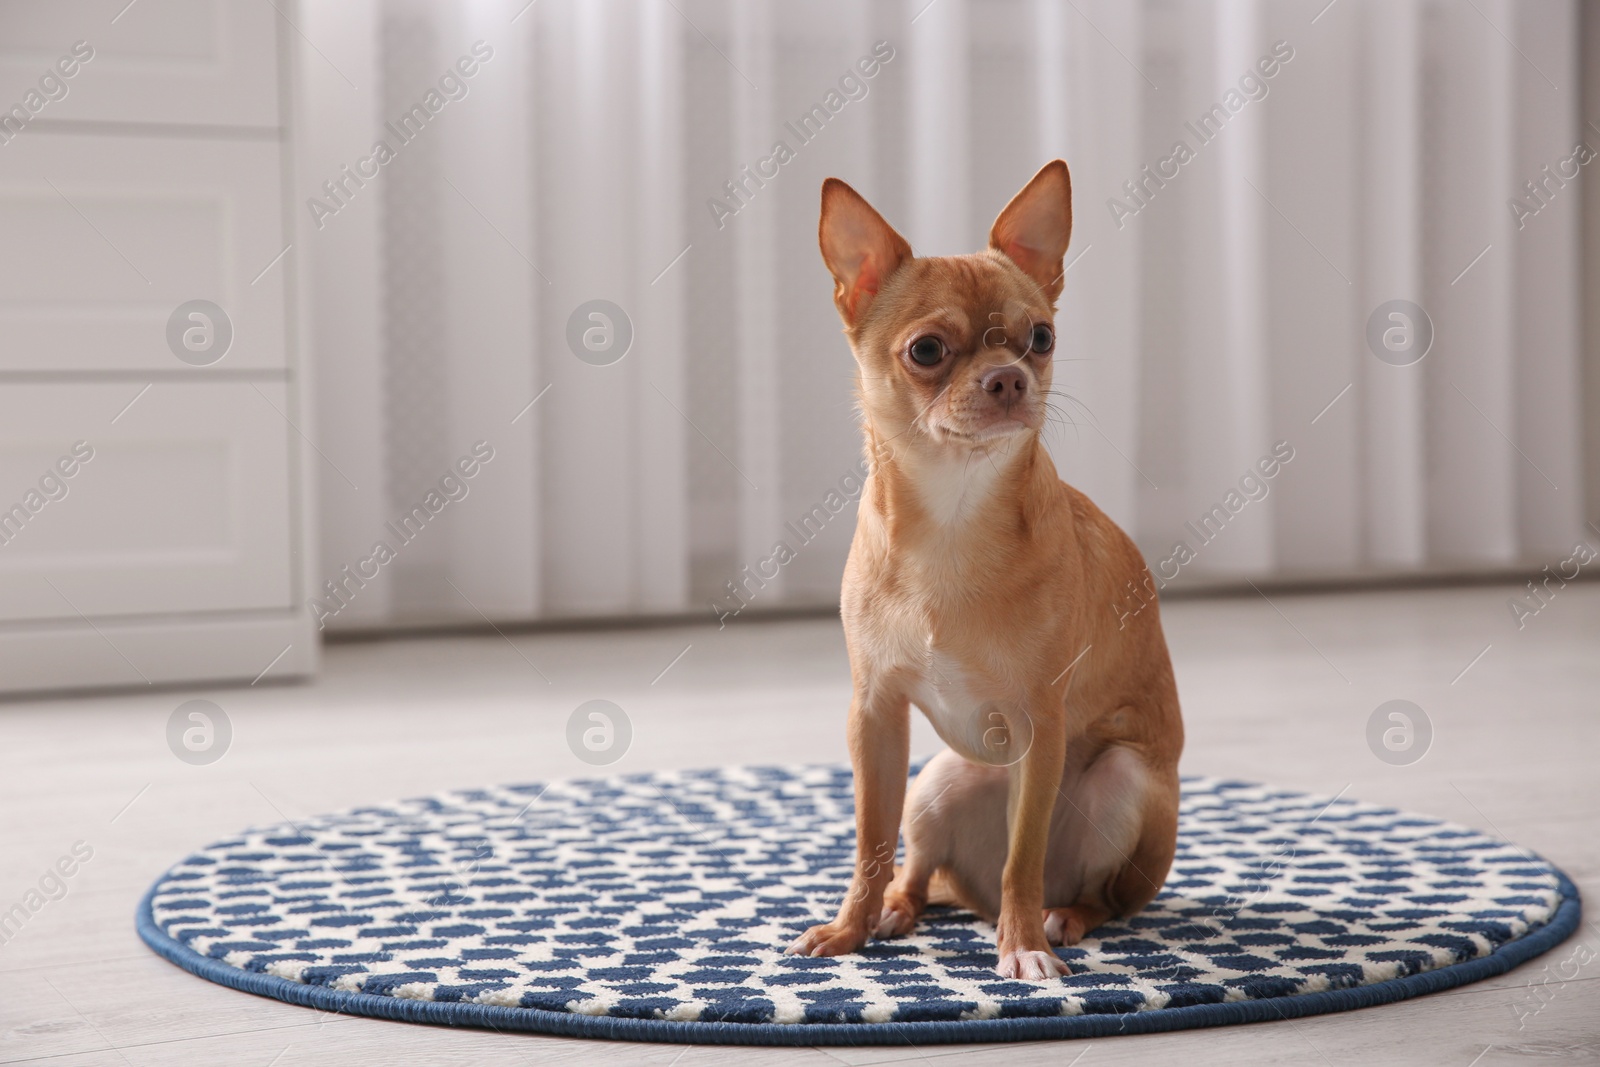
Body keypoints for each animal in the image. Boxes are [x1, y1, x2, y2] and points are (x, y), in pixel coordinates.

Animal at [790, 160, 1190, 985]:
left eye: (1042, 337)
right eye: (926, 351)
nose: (1009, 377)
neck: (952, 518)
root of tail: (963, 894)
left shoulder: (1039, 723)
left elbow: (1022, 855)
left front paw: (1023, 946)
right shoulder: (875, 717)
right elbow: (869, 842)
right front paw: (848, 929)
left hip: (1125, 783)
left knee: (1091, 890)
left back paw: (1061, 917)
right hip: (938, 782)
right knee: (916, 869)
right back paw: (897, 911)